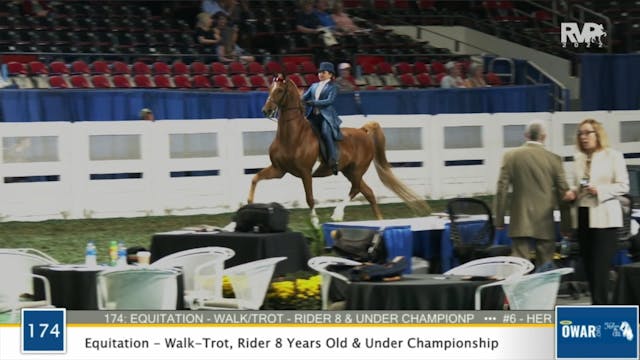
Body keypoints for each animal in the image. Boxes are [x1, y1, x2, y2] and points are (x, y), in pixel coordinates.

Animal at [248, 76, 428, 228]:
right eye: (270, 88)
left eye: (279, 90)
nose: (265, 110)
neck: (293, 135)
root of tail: (363, 131)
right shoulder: (279, 170)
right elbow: (255, 178)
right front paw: (249, 203)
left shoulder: (305, 173)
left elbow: (310, 199)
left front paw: (315, 223)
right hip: (348, 171)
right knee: (368, 193)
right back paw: (379, 222)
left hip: (357, 170)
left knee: (356, 189)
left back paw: (337, 214)